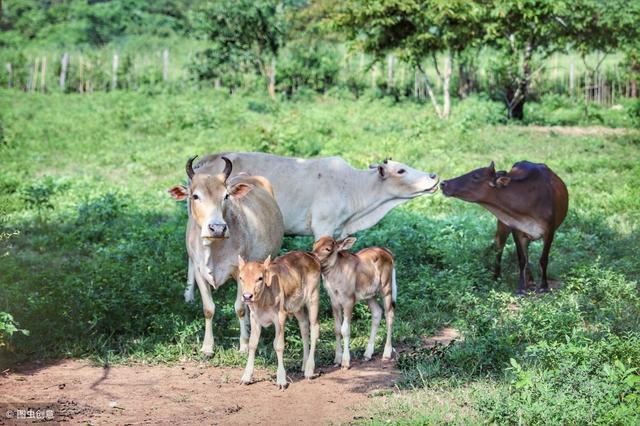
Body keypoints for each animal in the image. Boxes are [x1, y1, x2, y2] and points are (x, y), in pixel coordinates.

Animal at [236, 253, 320, 390]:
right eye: (241, 277)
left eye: (260, 278)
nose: (247, 296)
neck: (263, 301)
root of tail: (311, 255)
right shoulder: (255, 318)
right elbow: (252, 344)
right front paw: (246, 377)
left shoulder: (280, 317)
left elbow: (279, 345)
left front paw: (281, 380)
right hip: (297, 306)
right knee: (304, 326)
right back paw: (304, 364)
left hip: (313, 297)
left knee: (314, 327)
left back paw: (309, 369)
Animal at [314, 236, 398, 370]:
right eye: (314, 245)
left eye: (327, 249)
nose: (313, 256)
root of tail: (388, 252)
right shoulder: (334, 301)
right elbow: (337, 329)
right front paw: (336, 360)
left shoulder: (349, 300)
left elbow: (345, 329)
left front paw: (345, 362)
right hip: (370, 294)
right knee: (377, 312)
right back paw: (367, 354)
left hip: (386, 286)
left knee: (389, 314)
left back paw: (386, 353)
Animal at [440, 161, 568, 296]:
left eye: (476, 176)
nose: (443, 183)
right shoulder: (516, 229)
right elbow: (522, 259)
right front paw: (521, 288)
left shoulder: (550, 230)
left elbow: (543, 259)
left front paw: (544, 287)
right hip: (502, 224)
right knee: (499, 247)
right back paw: (498, 277)